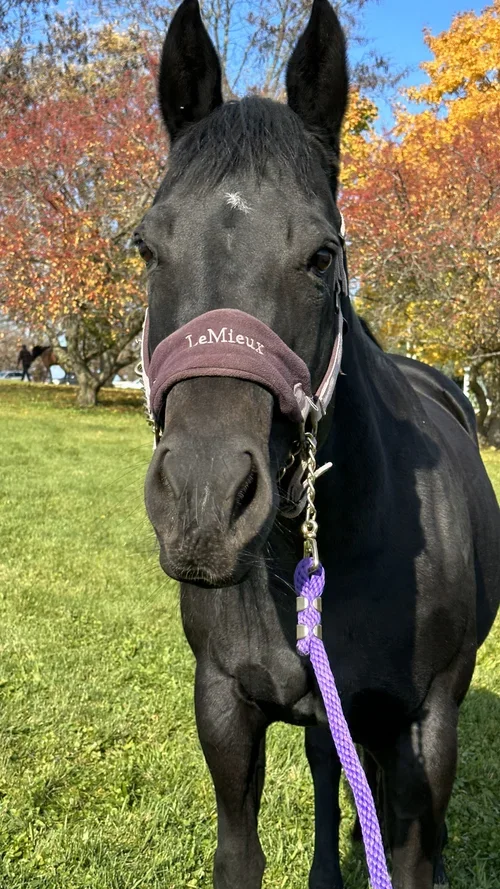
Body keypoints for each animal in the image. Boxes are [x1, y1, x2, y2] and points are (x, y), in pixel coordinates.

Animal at [138, 1, 500, 887]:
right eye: (147, 246)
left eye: (322, 254)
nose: (204, 504)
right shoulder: (226, 706)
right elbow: (249, 845)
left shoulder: (422, 724)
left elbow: (409, 845)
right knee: (332, 767)